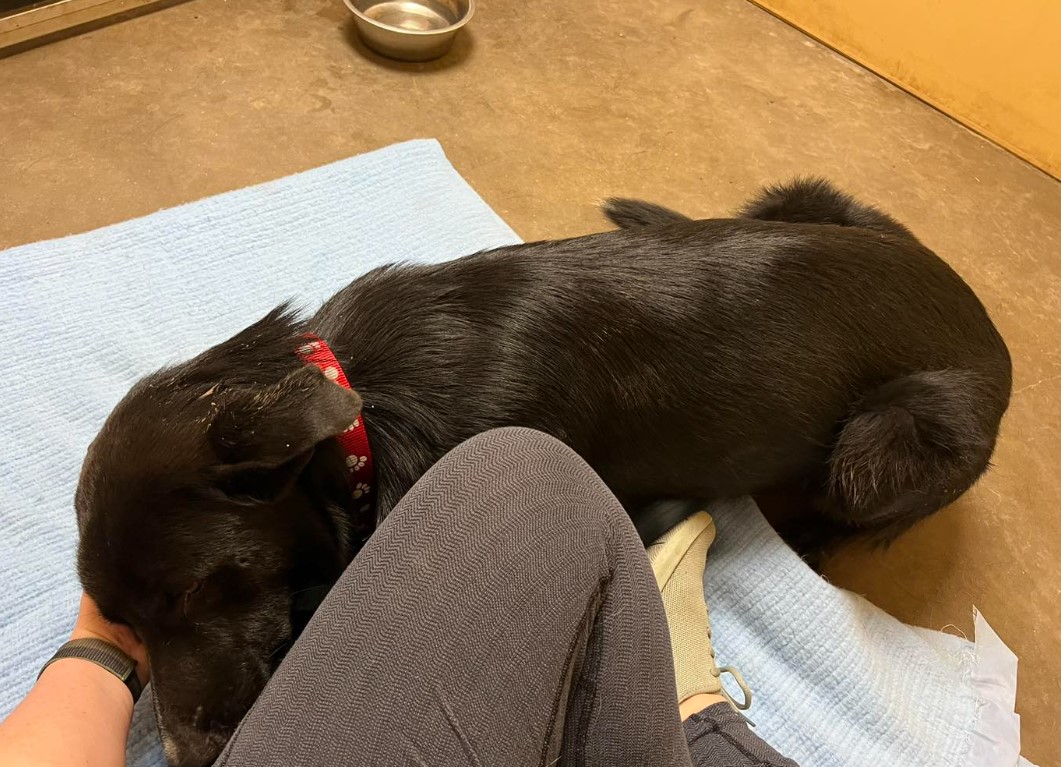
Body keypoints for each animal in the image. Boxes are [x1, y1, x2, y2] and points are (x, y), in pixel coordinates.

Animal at [72, 181, 1010, 767]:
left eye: (194, 592)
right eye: (121, 621)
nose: (188, 756)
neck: (367, 406)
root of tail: (991, 331)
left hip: (882, 443)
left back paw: (812, 540)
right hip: (797, 201)